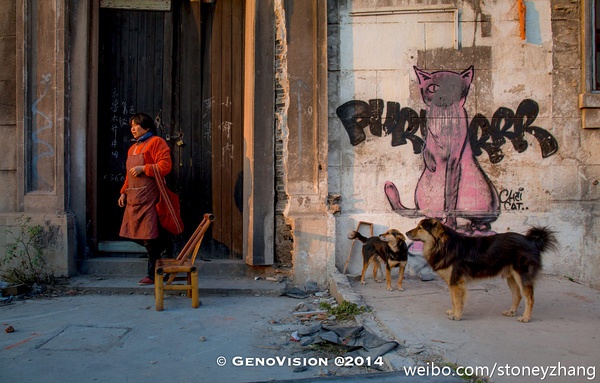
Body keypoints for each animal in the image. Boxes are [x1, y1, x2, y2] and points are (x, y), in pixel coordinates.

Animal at [386, 66, 500, 231]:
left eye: (452, 87)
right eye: (433, 88)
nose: (443, 97)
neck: (443, 117)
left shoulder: (455, 154)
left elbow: (450, 194)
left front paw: (451, 224)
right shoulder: (428, 136)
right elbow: (425, 149)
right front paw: (431, 164)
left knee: (478, 218)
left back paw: (476, 226)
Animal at [406, 219, 556, 324]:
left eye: (420, 228)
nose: (406, 233)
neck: (443, 244)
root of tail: (532, 241)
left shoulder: (456, 282)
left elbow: (457, 301)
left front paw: (457, 315)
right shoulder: (452, 282)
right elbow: (454, 300)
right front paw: (453, 312)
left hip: (522, 276)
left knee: (529, 298)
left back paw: (525, 317)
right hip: (511, 277)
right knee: (517, 296)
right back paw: (511, 312)